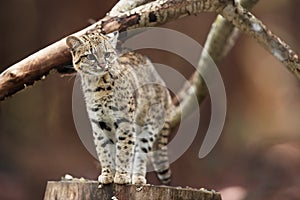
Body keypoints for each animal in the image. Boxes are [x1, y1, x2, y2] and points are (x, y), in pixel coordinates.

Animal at [65, 30, 173, 184]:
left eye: (107, 54)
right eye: (90, 56)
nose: (102, 65)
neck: (96, 85)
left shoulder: (125, 122)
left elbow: (124, 149)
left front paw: (121, 176)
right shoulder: (98, 124)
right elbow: (104, 151)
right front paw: (107, 174)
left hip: (149, 127)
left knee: (141, 152)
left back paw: (138, 177)